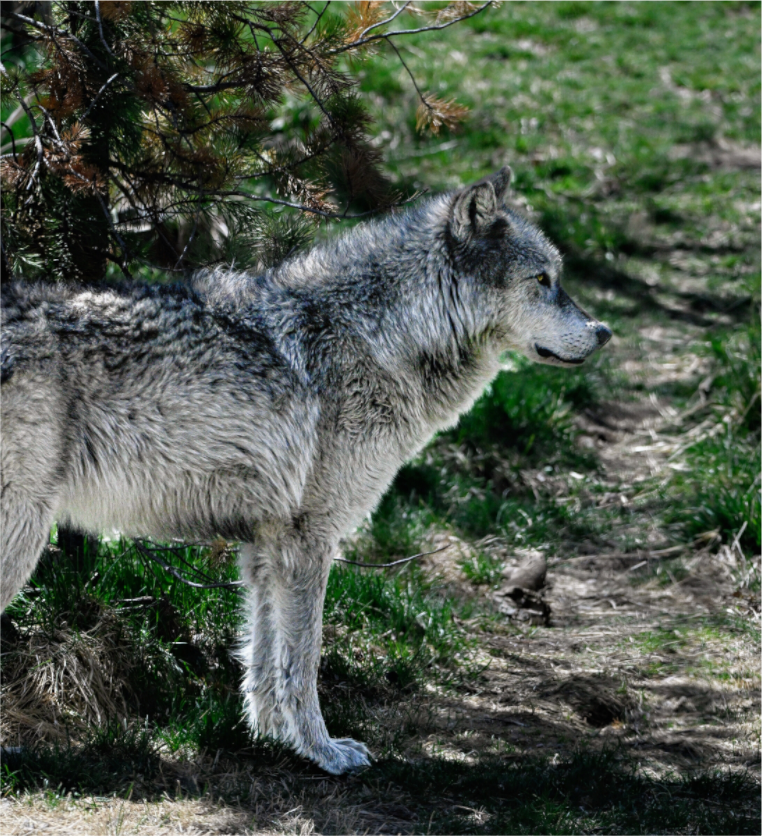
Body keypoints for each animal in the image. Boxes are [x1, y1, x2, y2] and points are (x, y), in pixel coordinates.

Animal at [0, 167, 610, 774]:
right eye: (542, 280)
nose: (604, 332)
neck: (382, 337)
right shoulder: (310, 537)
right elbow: (305, 659)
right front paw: (324, 751)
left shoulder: (267, 544)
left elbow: (264, 658)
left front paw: (274, 737)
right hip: (22, 538)